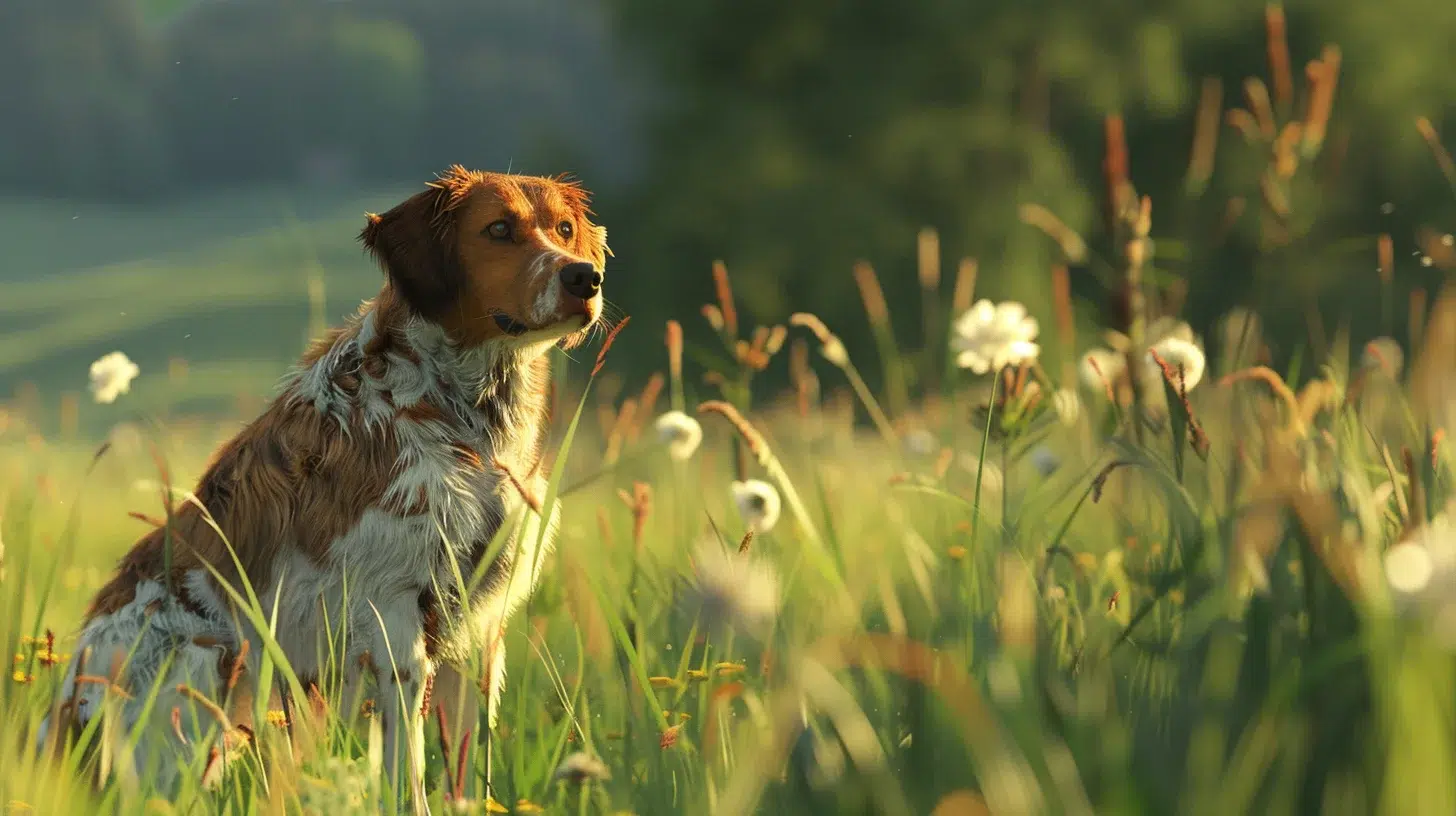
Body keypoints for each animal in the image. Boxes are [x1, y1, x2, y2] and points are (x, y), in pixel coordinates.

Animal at [38, 166, 608, 804]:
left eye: (564, 229)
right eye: (499, 229)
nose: (584, 277)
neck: (462, 418)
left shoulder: (479, 630)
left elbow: (465, 772)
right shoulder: (394, 617)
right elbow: (407, 774)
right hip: (202, 666)